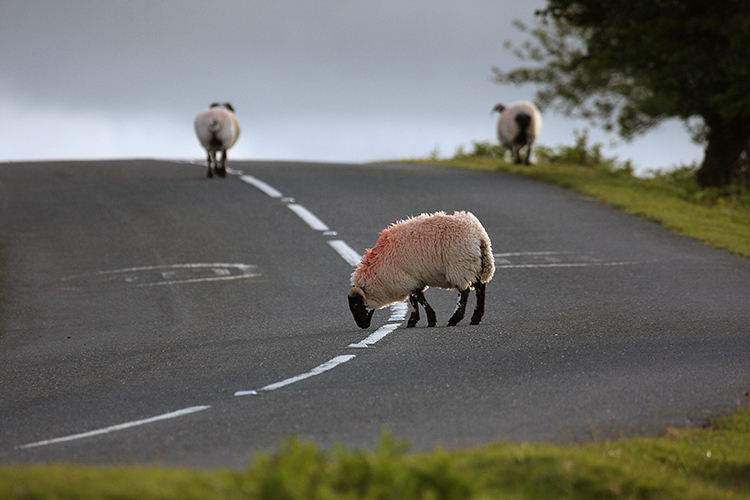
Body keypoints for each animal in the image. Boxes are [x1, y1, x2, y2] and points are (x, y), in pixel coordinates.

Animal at [350, 210, 496, 330]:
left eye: (356, 305)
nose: (362, 325)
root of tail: (479, 235)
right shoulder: (410, 278)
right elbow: (415, 298)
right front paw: (416, 320)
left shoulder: (405, 278)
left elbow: (418, 298)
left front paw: (427, 320)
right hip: (475, 264)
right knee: (480, 287)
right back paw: (475, 318)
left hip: (461, 266)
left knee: (464, 292)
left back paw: (455, 319)